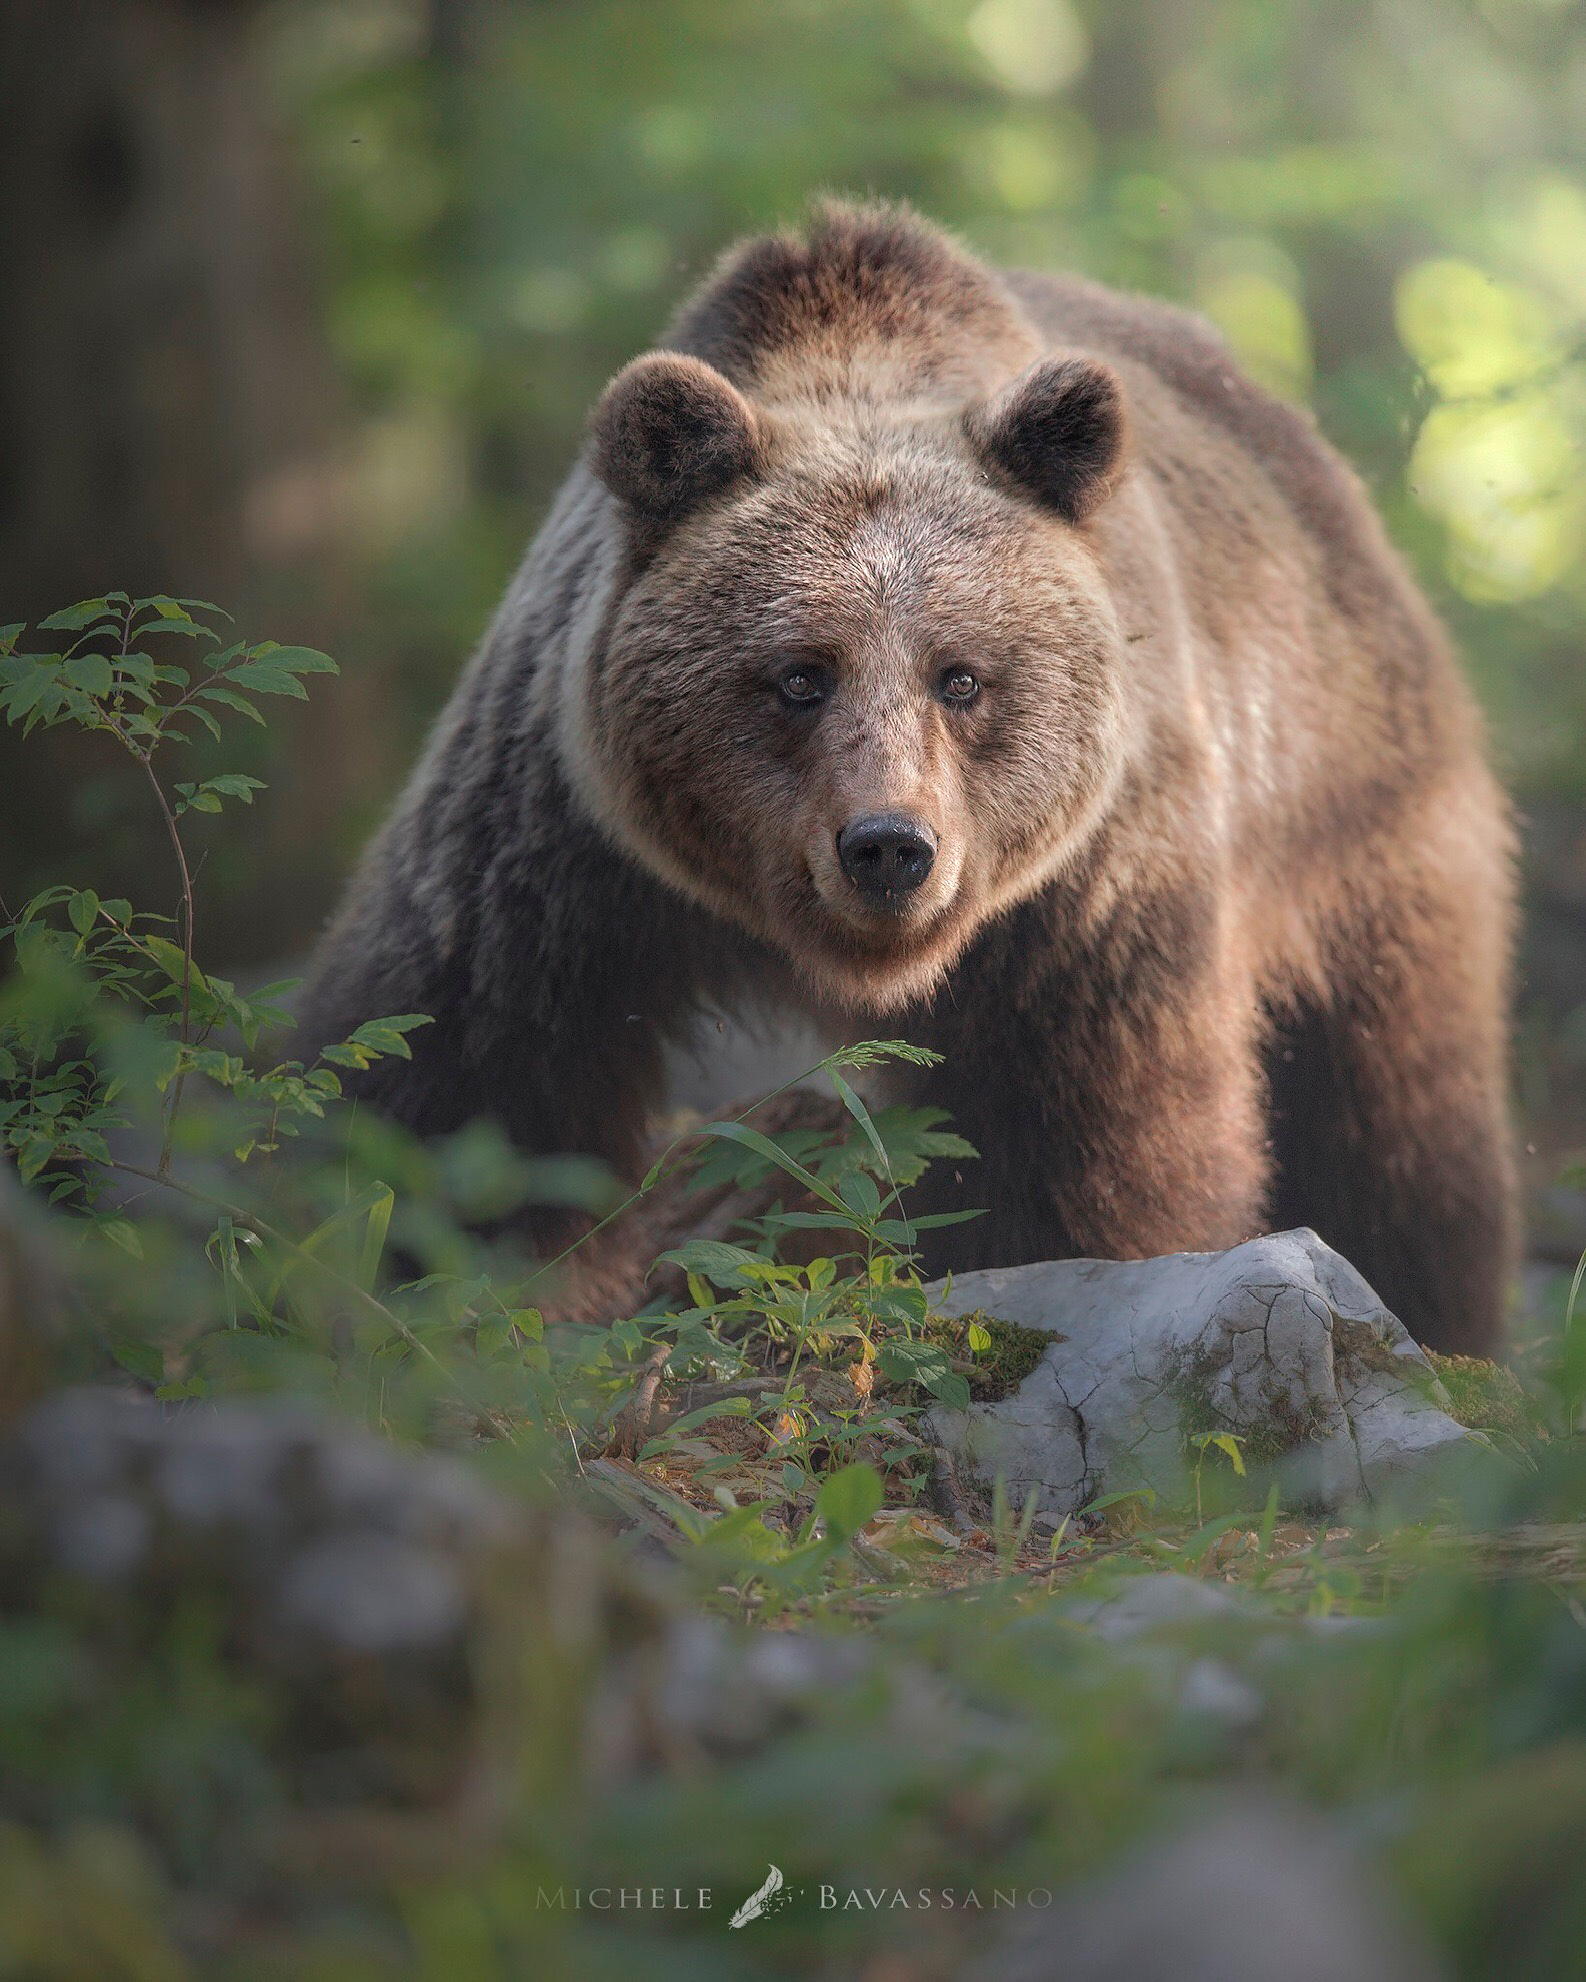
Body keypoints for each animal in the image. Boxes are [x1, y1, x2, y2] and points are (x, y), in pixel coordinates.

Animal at [299, 200, 1517, 1354]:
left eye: (960, 675)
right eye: (799, 674)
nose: (888, 845)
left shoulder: (1084, 895)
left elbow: (1079, 1136)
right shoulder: (557, 846)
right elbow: (457, 1074)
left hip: (1356, 809)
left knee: (1400, 1123)